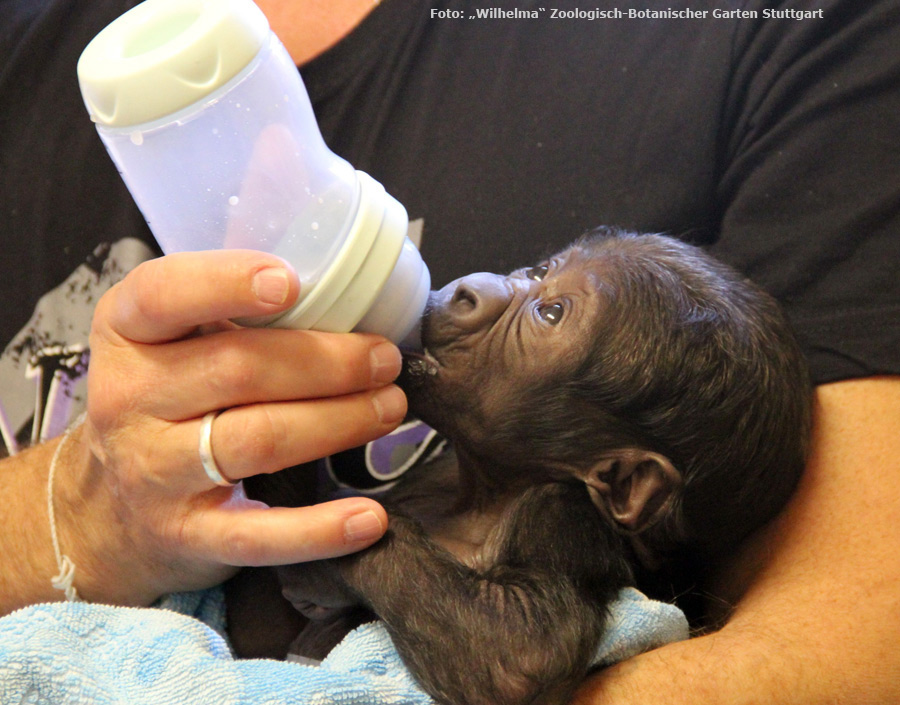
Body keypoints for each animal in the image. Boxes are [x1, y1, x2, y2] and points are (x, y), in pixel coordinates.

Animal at [270, 228, 812, 704]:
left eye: (550, 313)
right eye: (540, 271)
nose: (471, 290)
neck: (484, 491)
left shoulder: (560, 513)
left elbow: (518, 652)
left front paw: (321, 562)